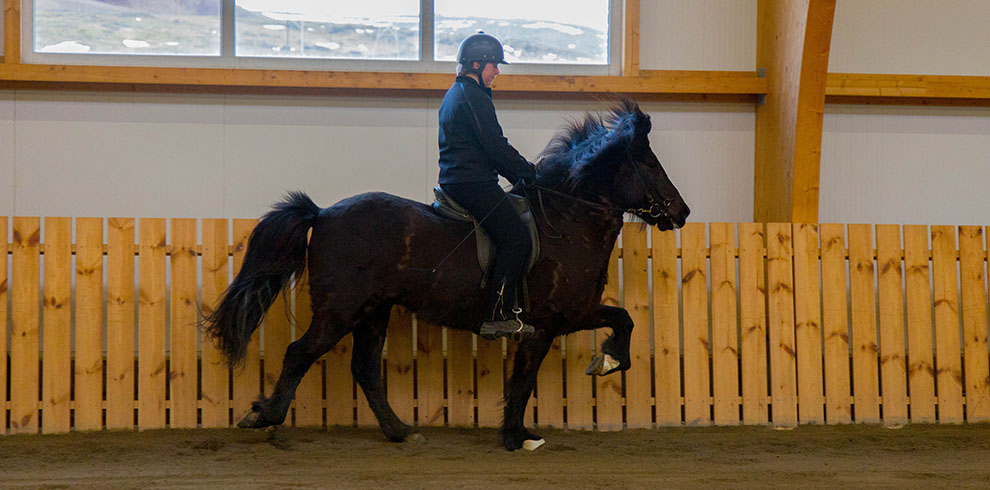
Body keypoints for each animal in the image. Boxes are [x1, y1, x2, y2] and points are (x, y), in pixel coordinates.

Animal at [203, 99, 688, 452]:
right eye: (649, 164)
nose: (682, 212)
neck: (567, 219)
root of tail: (321, 213)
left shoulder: (576, 313)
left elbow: (623, 320)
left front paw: (607, 361)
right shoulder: (550, 321)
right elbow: (524, 379)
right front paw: (517, 437)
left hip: (373, 311)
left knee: (365, 369)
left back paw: (401, 431)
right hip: (339, 310)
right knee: (300, 353)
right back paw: (263, 416)